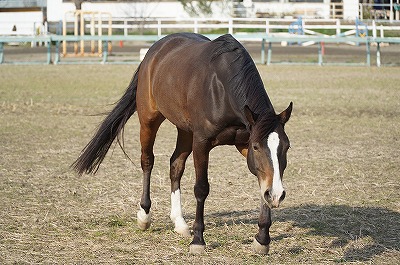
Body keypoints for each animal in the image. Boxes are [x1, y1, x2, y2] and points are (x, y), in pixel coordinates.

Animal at [72, 33, 290, 254]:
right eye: (257, 146)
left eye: (286, 147)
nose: (277, 194)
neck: (222, 88)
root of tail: (155, 50)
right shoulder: (202, 142)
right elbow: (201, 188)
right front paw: (198, 240)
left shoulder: (243, 141)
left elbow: (263, 182)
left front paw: (262, 238)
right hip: (149, 119)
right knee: (147, 161)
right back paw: (144, 216)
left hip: (185, 130)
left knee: (175, 165)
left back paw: (179, 222)